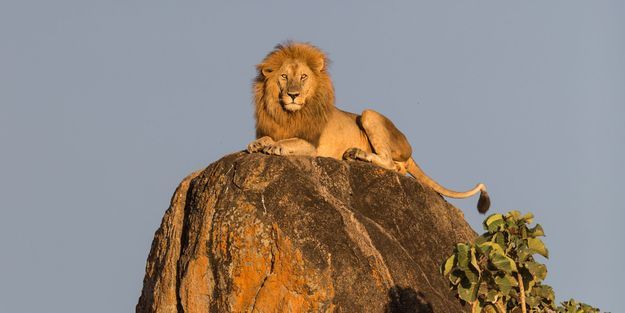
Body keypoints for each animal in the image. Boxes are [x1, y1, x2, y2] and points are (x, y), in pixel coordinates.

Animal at [246, 41, 490, 212]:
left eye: (304, 77)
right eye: (284, 77)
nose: (293, 95)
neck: (288, 114)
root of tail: (409, 150)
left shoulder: (312, 145)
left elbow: (290, 141)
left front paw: (276, 147)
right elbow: (266, 138)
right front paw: (257, 144)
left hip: (369, 114)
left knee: (388, 162)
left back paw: (357, 154)